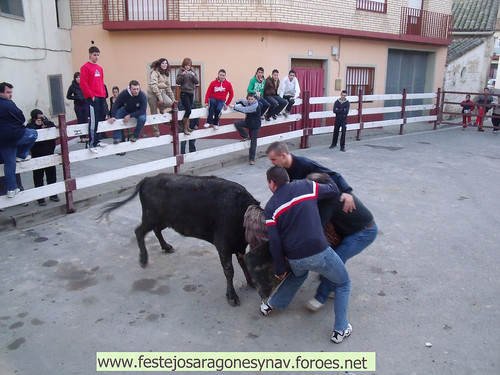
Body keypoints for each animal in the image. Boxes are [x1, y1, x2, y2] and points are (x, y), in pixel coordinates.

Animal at [98, 175, 262, 306]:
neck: (241, 213)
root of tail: (148, 179)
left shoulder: (239, 247)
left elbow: (243, 263)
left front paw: (251, 282)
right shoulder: (223, 246)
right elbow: (229, 271)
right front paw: (232, 297)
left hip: (164, 219)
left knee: (156, 230)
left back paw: (166, 247)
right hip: (151, 217)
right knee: (139, 231)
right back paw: (144, 259)